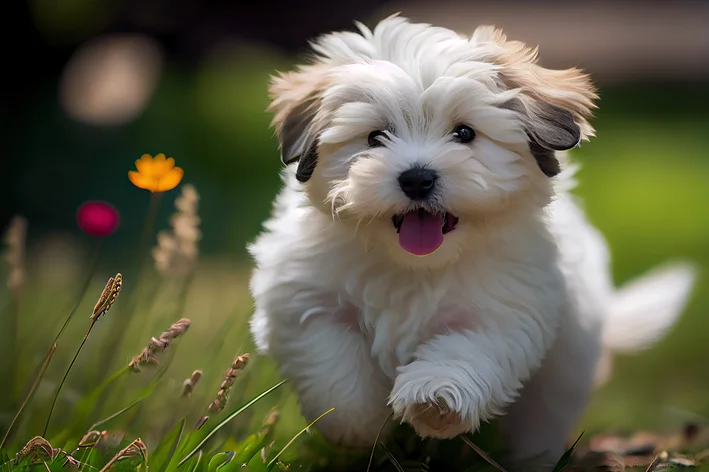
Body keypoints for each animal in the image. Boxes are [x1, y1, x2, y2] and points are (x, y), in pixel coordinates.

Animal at [246, 13, 696, 468]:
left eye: (464, 133)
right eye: (375, 137)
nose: (417, 178)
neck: (415, 264)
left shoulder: (506, 307)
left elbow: (467, 350)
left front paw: (434, 398)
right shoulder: (303, 297)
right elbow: (330, 357)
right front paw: (354, 422)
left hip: (565, 366)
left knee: (542, 414)